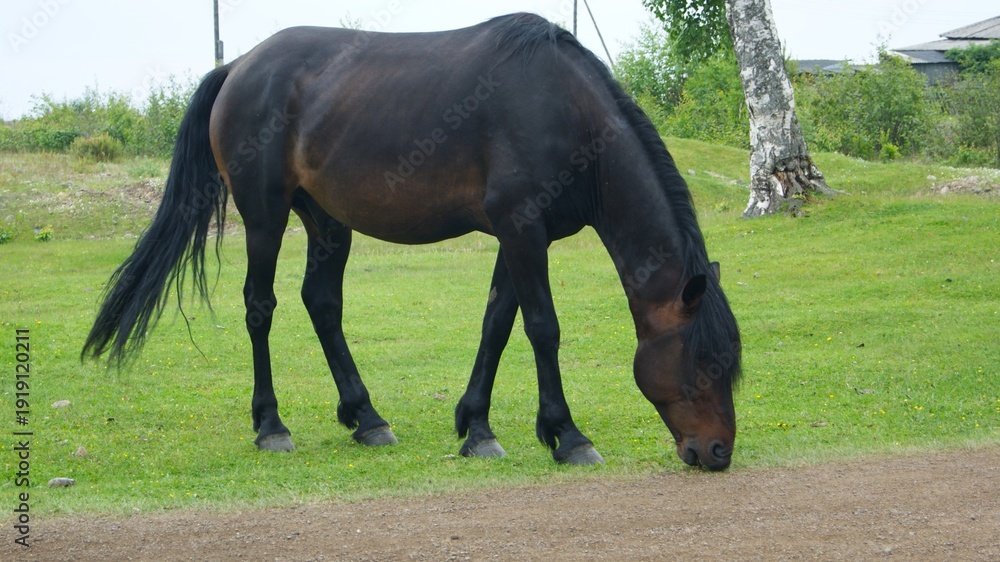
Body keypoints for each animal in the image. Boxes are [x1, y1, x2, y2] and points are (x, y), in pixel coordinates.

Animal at [83, 13, 741, 470]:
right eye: (703, 361)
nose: (717, 453)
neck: (566, 111)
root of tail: (239, 65)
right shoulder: (523, 230)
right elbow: (541, 328)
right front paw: (566, 434)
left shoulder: (516, 237)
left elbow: (496, 325)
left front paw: (477, 428)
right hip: (264, 218)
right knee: (259, 307)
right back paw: (272, 426)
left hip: (328, 222)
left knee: (322, 303)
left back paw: (366, 417)